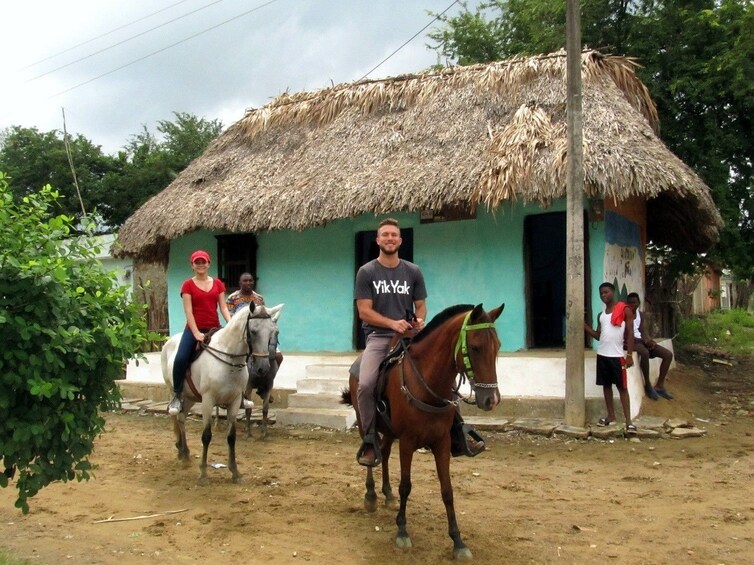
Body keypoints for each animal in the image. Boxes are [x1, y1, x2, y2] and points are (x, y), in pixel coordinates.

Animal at [162, 302, 282, 482]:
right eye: (253, 331)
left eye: (273, 331)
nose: (263, 368)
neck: (229, 359)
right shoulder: (208, 400)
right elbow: (206, 436)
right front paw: (203, 474)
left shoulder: (235, 401)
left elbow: (231, 437)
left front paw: (235, 472)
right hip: (174, 390)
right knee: (176, 416)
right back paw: (181, 451)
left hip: (190, 397)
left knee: (182, 418)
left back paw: (185, 453)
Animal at [340, 302, 502, 556]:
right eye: (475, 348)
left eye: (498, 347)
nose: (491, 400)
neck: (426, 383)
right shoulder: (407, 442)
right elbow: (406, 486)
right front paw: (402, 532)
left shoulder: (442, 442)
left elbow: (447, 491)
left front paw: (458, 541)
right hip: (365, 421)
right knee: (371, 453)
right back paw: (372, 495)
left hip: (390, 431)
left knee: (384, 452)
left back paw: (387, 494)